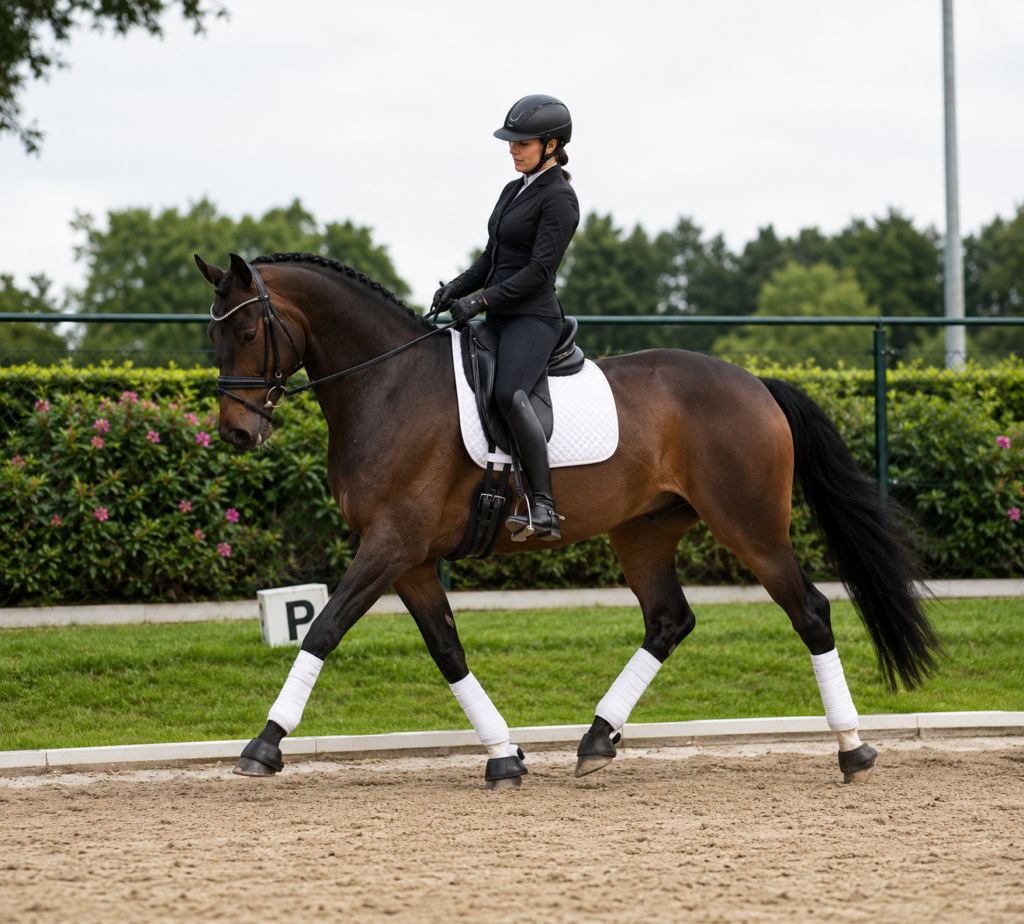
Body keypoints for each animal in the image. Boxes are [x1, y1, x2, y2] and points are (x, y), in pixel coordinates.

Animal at [195, 250, 939, 790]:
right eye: (213, 333)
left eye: (248, 329)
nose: (235, 432)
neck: (388, 386)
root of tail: (756, 383)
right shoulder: (409, 557)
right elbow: (447, 650)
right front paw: (504, 755)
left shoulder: (390, 543)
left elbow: (322, 629)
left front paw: (263, 745)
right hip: (643, 531)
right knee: (668, 619)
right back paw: (597, 739)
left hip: (749, 525)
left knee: (809, 611)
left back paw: (853, 749)